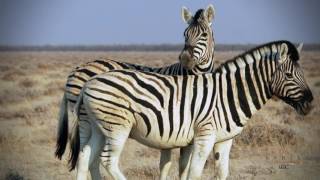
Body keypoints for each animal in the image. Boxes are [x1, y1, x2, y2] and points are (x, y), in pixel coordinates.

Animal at [55, 4, 216, 180]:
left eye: (204, 34)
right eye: (184, 34)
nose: (185, 58)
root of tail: (76, 69)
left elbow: (178, 166)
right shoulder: (172, 125)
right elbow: (168, 164)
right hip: (86, 119)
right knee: (88, 157)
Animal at [70, 40, 312, 179]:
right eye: (289, 75)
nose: (310, 103)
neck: (229, 95)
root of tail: (88, 83)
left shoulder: (225, 140)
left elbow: (221, 173)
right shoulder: (204, 135)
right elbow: (195, 173)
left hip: (98, 127)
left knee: (84, 158)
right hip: (117, 127)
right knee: (107, 161)